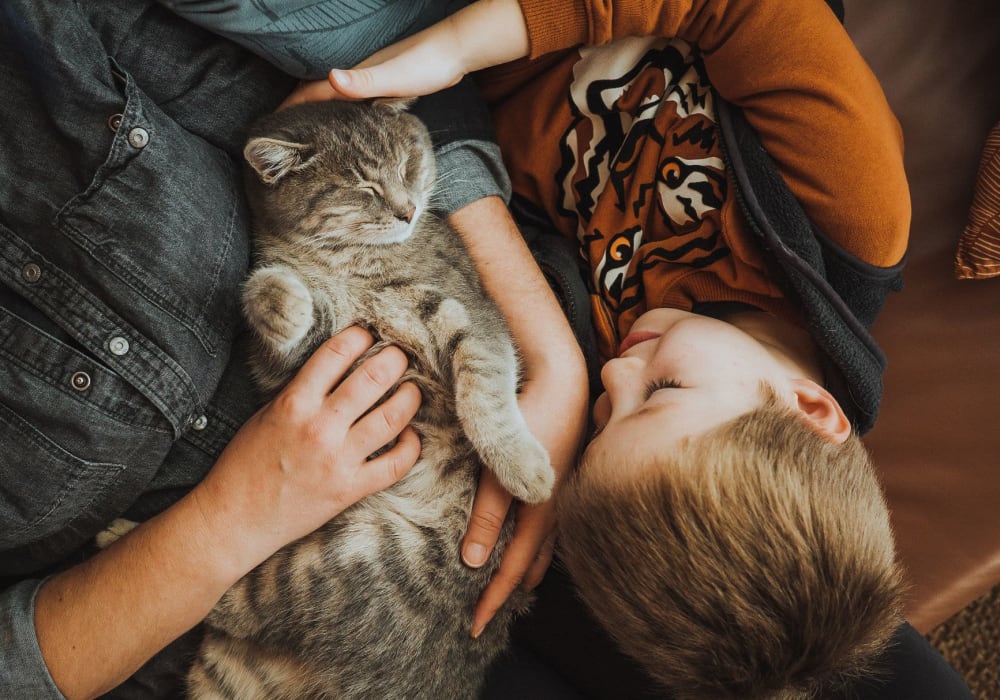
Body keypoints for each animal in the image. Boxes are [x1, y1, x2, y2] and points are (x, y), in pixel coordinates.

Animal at [185, 100, 560, 700]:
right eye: (364, 187)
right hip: (344, 565)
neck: (349, 263)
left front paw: (523, 469)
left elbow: (485, 391)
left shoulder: (469, 315)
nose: (408, 211)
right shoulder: (310, 356)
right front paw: (277, 293)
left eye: (408, 165)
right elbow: (282, 311)